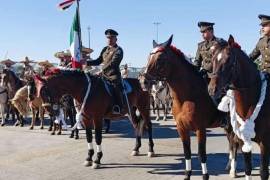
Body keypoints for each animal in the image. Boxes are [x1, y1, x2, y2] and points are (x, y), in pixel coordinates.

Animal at [144, 35, 229, 179]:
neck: (188, 97)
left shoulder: (201, 129)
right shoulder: (181, 128)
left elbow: (201, 154)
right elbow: (187, 152)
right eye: (148, 56)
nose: (143, 80)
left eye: (160, 58)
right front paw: (187, 175)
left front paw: (205, 176)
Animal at [208, 34, 268, 179]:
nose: (212, 89)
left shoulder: (265, 142)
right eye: (213, 59)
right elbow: (247, 168)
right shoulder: (242, 138)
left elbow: (264, 172)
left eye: (229, 60)